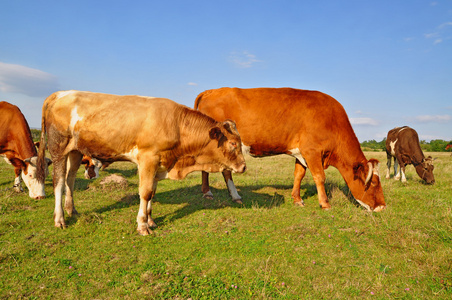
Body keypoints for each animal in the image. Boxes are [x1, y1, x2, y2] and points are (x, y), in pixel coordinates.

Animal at [36, 90, 245, 236]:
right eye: (233, 144)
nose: (243, 166)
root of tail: (60, 94)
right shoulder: (147, 159)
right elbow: (145, 192)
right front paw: (143, 225)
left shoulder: (159, 163)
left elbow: (152, 191)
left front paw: (151, 220)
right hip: (58, 149)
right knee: (59, 182)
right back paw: (60, 218)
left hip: (75, 151)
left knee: (70, 179)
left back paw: (72, 210)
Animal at [194, 88, 384, 212]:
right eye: (374, 183)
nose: (382, 206)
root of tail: (211, 91)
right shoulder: (312, 151)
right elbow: (319, 176)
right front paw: (325, 204)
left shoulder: (301, 153)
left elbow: (299, 175)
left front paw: (297, 199)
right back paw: (220, 194)